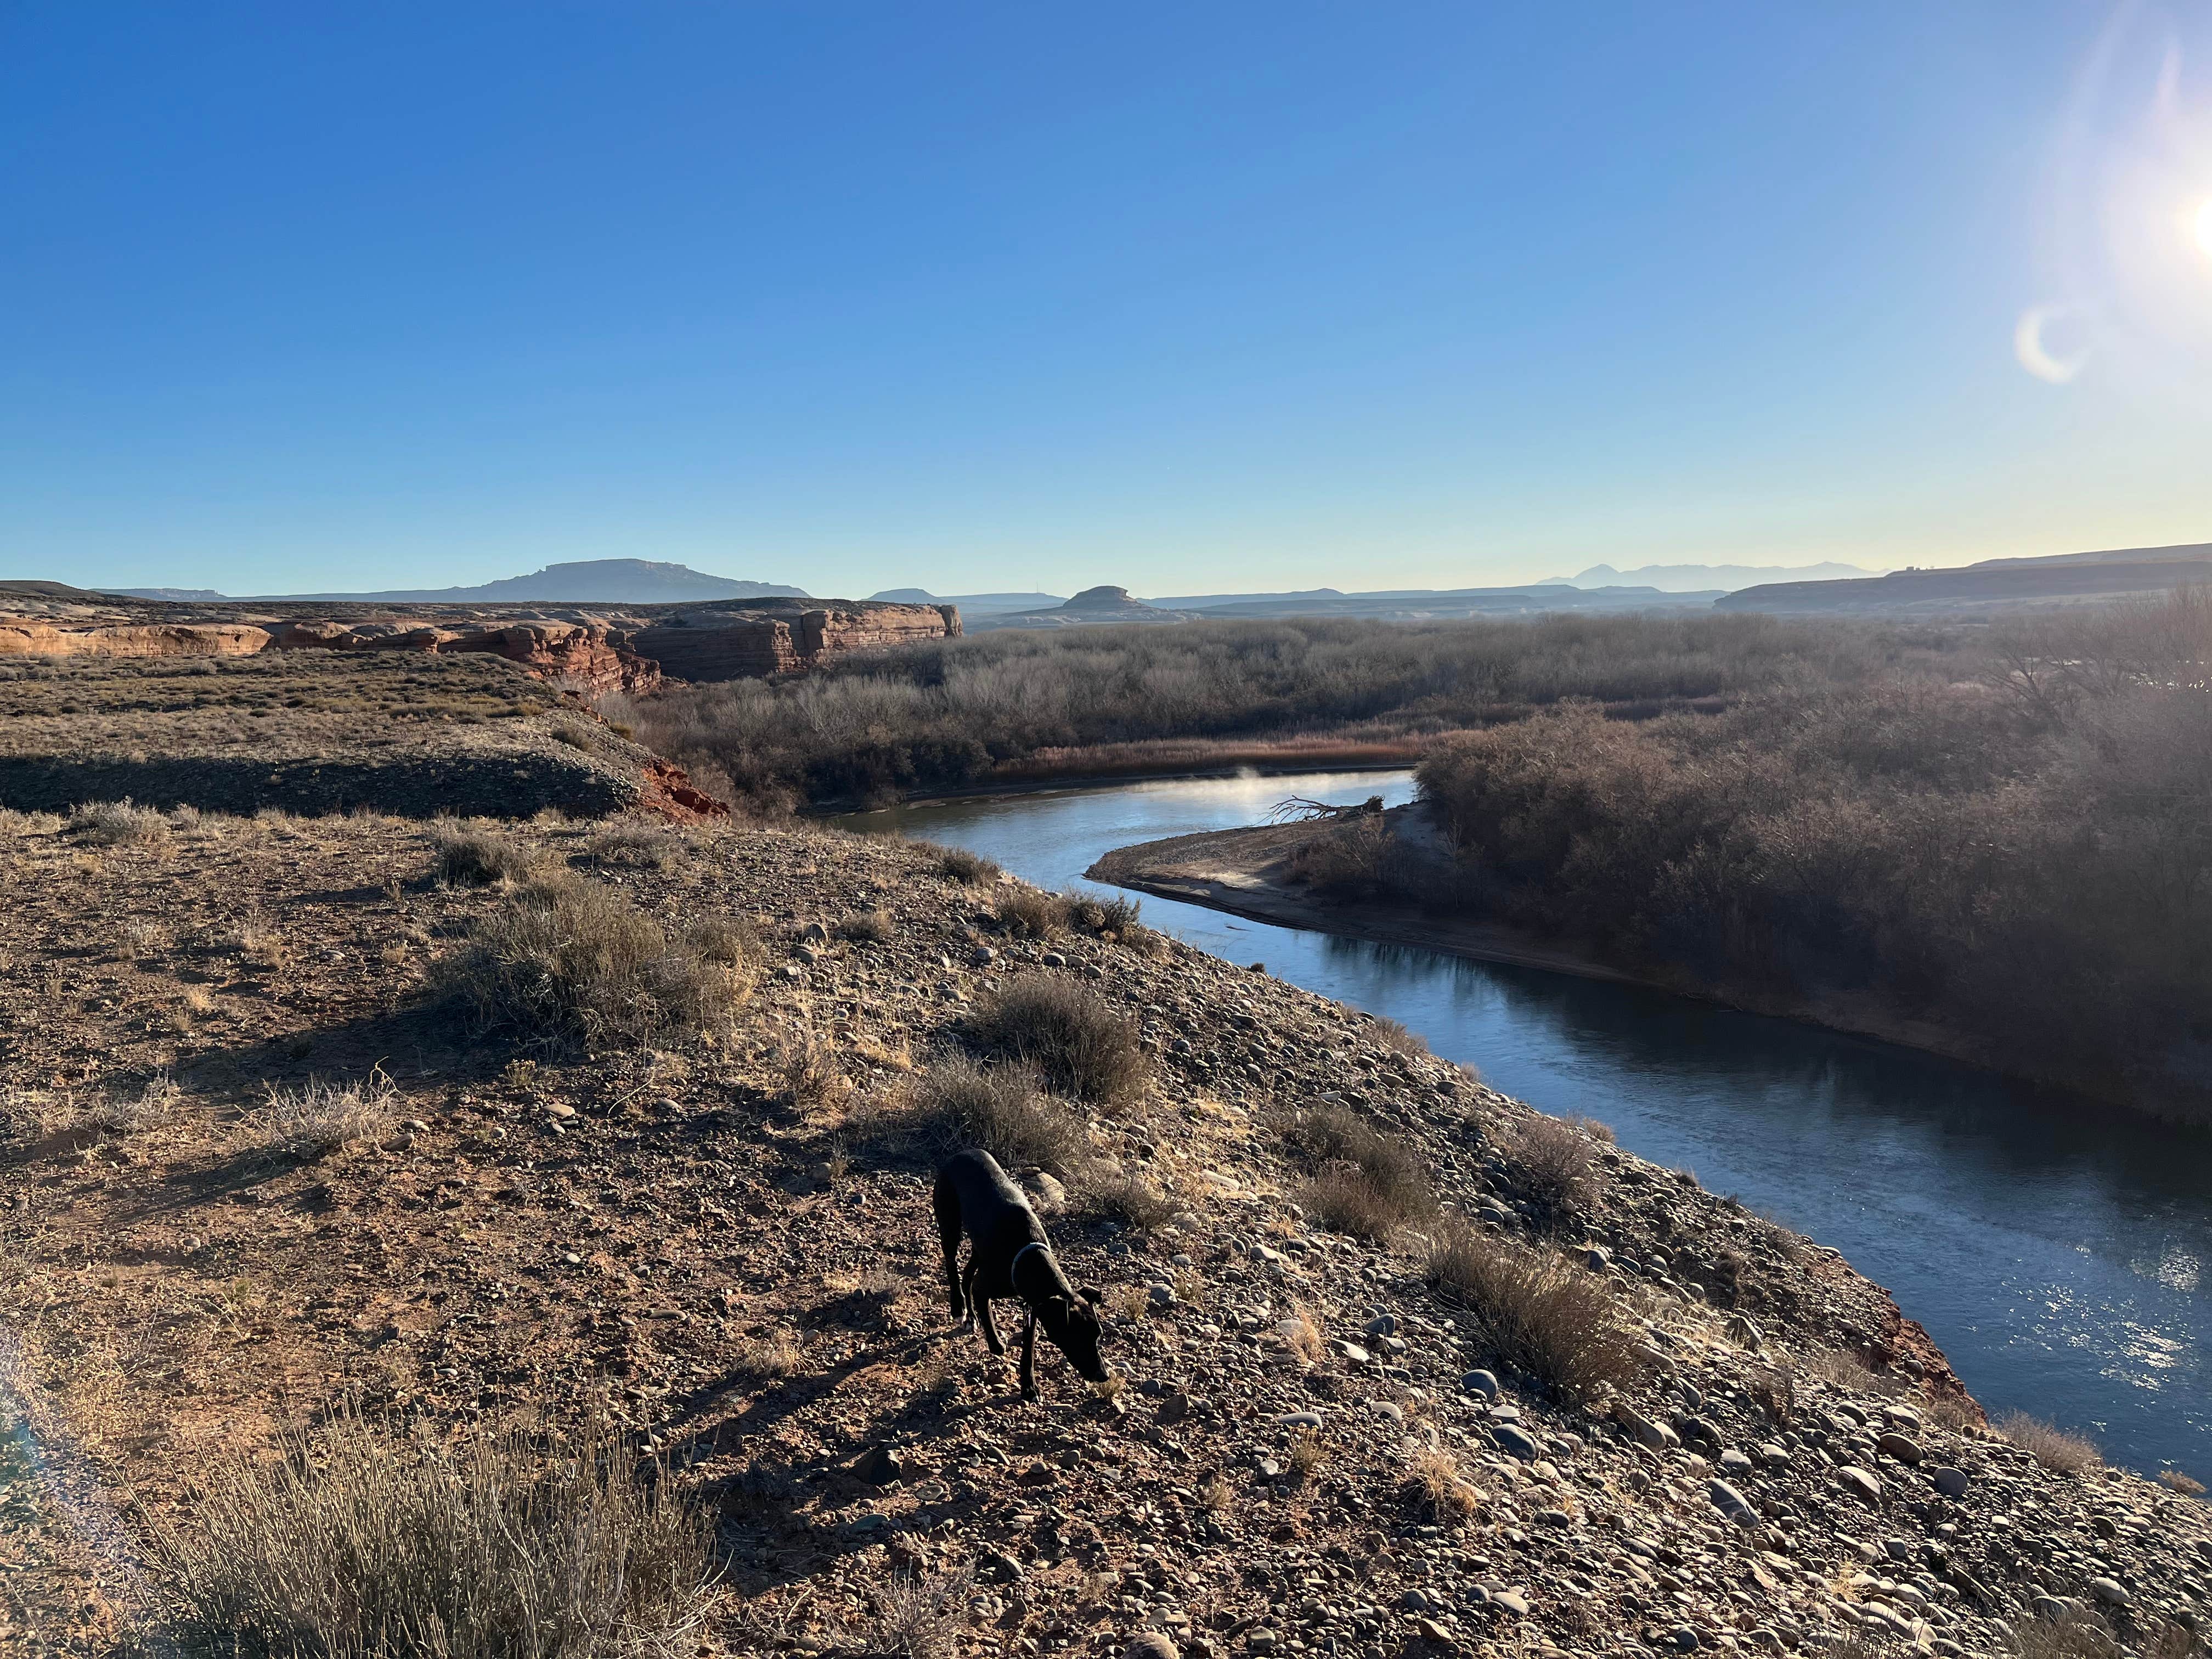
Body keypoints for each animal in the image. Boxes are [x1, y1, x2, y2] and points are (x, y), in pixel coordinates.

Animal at [929, 1150, 1106, 1398]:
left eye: (1097, 1335)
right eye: (1077, 1337)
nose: (1104, 1376)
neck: (1027, 1254)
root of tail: (960, 1154)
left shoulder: (1033, 1306)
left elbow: (1028, 1350)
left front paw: (1029, 1386)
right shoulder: (986, 1289)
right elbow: (988, 1316)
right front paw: (996, 1344)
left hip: (979, 1249)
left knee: (967, 1274)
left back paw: (970, 1317)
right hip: (950, 1224)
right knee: (952, 1265)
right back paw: (958, 1307)